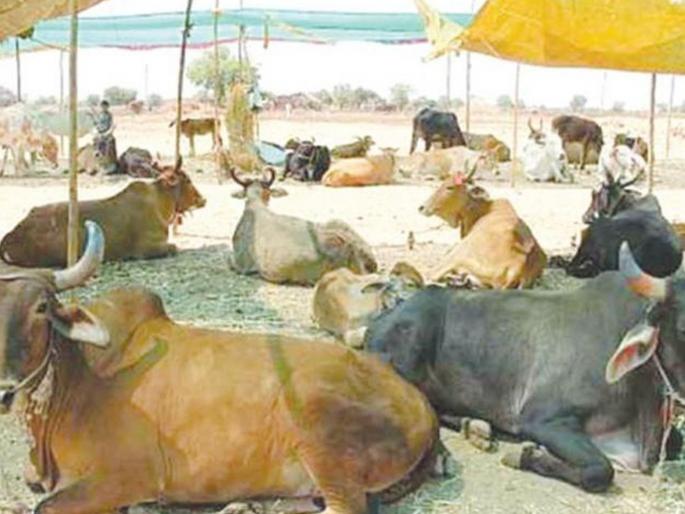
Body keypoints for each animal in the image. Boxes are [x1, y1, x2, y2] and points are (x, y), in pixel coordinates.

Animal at [0, 158, 206, 267]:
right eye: (187, 179)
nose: (202, 199)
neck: (160, 202)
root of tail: (10, 236)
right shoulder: (147, 249)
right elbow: (174, 247)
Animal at [0, 232, 439, 514]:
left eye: (42, 307)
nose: (4, 391)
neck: (79, 377)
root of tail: (421, 405)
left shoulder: (126, 477)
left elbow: (44, 507)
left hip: (320, 435)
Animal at [365, 242, 685, 492]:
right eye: (682, 326)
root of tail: (383, 318)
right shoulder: (542, 419)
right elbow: (599, 470)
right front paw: (526, 456)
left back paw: (476, 426)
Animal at [418, 164, 547, 288]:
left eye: (450, 187)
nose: (421, 207)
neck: (483, 209)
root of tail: (518, 269)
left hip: (460, 253)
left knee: (432, 274)